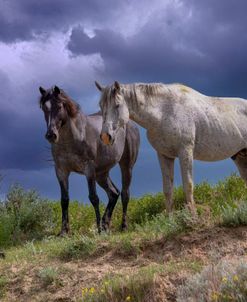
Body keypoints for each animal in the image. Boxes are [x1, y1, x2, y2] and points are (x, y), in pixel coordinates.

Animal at [38, 86, 139, 235]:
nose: (51, 135)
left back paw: (123, 226)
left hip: (126, 166)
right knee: (114, 193)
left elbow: (94, 198)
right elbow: (64, 200)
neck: (73, 138)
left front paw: (98, 229)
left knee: (125, 194)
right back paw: (105, 224)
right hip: (101, 174)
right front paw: (64, 232)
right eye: (44, 108)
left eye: (60, 106)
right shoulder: (61, 171)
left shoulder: (89, 170)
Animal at [95, 81, 247, 215]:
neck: (165, 111)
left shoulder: (185, 151)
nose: (105, 137)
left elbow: (188, 185)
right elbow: (168, 189)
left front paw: (193, 216)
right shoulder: (164, 155)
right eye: (101, 106)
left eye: (117, 105)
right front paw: (170, 218)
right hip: (240, 157)